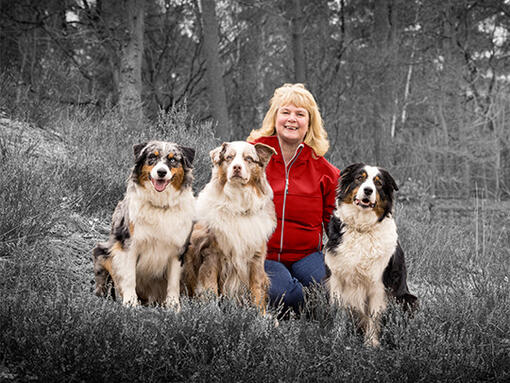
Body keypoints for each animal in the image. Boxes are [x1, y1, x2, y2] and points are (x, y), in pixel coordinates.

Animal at [91, 140, 195, 310]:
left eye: (173, 159)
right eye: (152, 157)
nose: (161, 172)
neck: (160, 206)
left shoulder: (177, 250)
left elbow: (173, 282)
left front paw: (173, 306)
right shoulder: (129, 246)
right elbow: (129, 277)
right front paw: (130, 302)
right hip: (103, 251)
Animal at [182, 142, 276, 314]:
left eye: (248, 159)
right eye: (229, 158)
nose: (236, 167)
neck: (238, 206)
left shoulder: (256, 258)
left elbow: (257, 289)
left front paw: (261, 316)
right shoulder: (211, 254)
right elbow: (210, 288)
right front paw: (211, 312)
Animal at [324, 163, 416, 348]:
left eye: (378, 183)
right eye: (360, 178)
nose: (368, 190)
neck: (361, 228)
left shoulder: (378, 285)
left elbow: (374, 317)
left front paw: (371, 344)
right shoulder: (337, 279)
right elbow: (339, 313)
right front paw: (337, 339)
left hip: (408, 299)